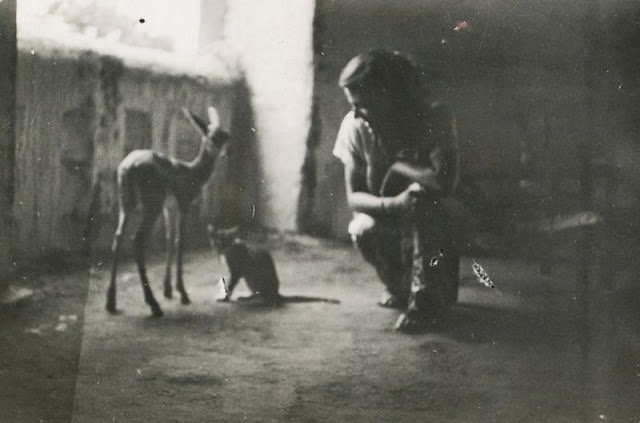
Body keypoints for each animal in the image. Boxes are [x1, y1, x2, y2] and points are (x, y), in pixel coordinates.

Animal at [209, 227, 340, 306]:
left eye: (226, 243)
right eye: (217, 243)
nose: (220, 249)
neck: (228, 252)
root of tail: (277, 292)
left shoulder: (237, 271)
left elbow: (230, 285)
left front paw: (225, 298)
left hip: (254, 275)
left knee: (265, 297)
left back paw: (251, 298)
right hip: (249, 277)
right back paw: (249, 296)